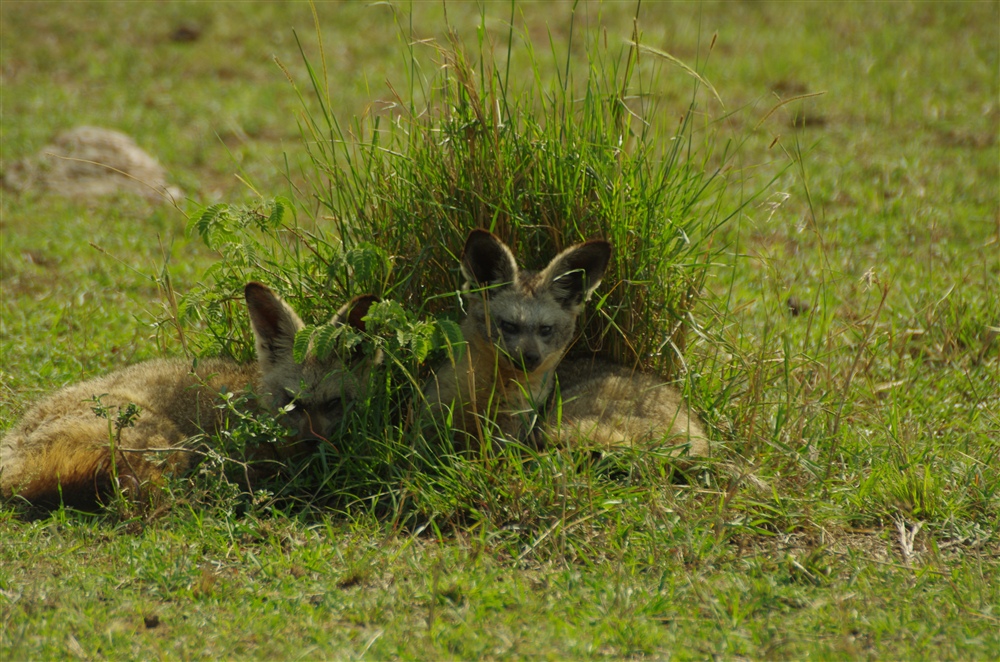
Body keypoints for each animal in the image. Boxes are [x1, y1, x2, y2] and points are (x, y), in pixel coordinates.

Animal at [0, 284, 376, 508]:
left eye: (334, 403)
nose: (315, 444)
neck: (254, 405)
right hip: (168, 442)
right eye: (292, 404)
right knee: (143, 496)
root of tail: (15, 443)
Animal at [426, 228, 708, 456]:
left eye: (546, 329)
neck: (487, 392)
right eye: (509, 325)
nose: (530, 358)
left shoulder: (508, 435)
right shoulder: (433, 418)